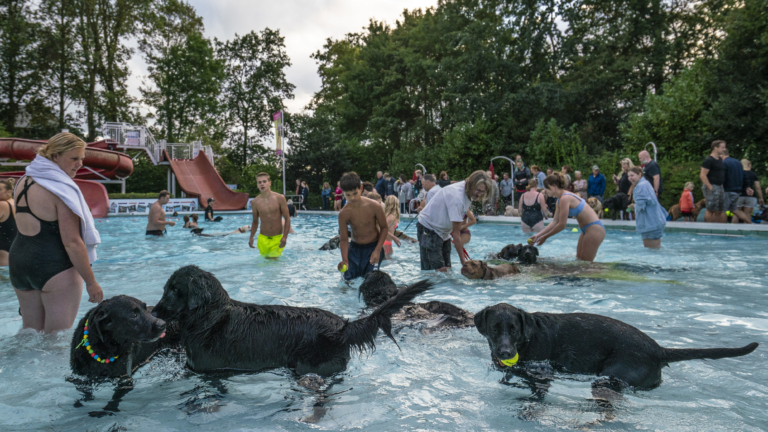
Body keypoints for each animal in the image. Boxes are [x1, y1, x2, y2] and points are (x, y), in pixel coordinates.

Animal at [153, 264, 436, 374]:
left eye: (175, 290)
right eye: (164, 288)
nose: (154, 313)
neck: (209, 317)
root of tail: (342, 326)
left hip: (308, 364)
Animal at [476, 302, 760, 390]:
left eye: (514, 329)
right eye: (495, 329)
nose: (505, 352)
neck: (527, 338)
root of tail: (658, 348)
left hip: (613, 374)